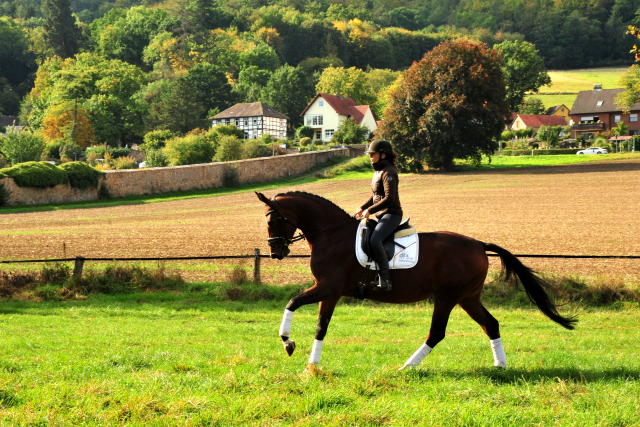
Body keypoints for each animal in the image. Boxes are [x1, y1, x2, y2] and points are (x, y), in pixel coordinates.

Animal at [256, 192, 580, 370]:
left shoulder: (329, 288)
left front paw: (288, 343)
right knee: (491, 324)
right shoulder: (329, 292)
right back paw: (500, 366)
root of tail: (478, 245)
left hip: (448, 297)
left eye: (273, 220)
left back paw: (406, 367)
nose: (275, 252)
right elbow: (320, 326)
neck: (331, 235)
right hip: (468, 297)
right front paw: (311, 365)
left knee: (436, 333)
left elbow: (293, 304)